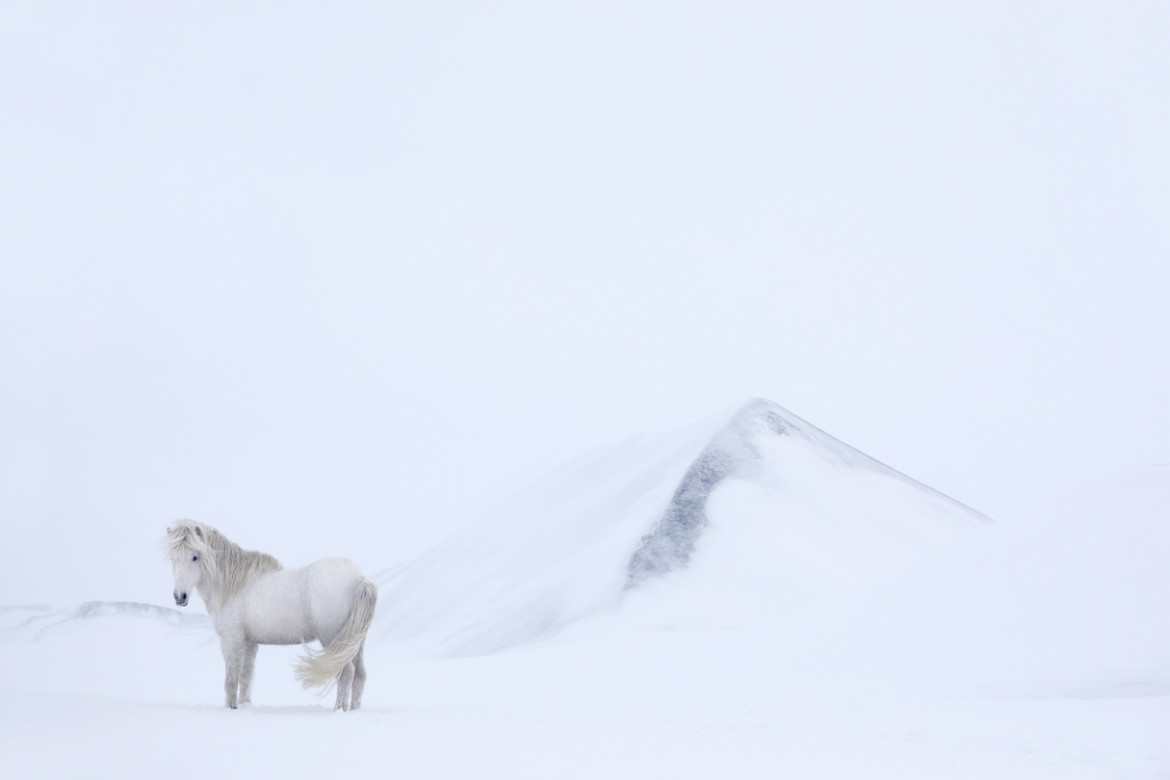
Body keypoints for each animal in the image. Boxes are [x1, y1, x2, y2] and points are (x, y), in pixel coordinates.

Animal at [161, 521, 374, 711]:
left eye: (195, 557)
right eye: (173, 558)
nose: (179, 596)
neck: (234, 585)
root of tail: (360, 578)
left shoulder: (231, 640)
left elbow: (231, 679)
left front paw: (231, 707)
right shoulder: (250, 643)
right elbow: (246, 677)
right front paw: (245, 705)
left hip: (333, 639)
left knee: (346, 672)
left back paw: (339, 710)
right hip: (355, 642)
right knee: (360, 674)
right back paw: (354, 709)